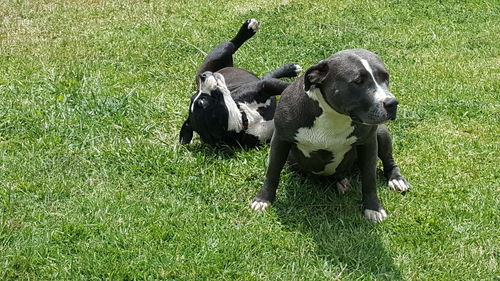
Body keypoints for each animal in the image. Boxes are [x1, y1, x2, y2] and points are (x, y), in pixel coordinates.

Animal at [180, 18, 300, 147]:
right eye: (202, 102)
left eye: (196, 95)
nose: (203, 76)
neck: (244, 118)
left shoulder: (263, 87)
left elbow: (283, 86)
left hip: (223, 51)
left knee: (233, 43)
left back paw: (249, 28)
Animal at [250, 49, 410, 222]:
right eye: (358, 81)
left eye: (385, 77)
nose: (392, 103)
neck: (334, 115)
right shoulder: (280, 139)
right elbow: (272, 171)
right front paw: (263, 199)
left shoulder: (368, 143)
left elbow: (369, 178)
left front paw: (373, 208)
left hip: (381, 132)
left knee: (388, 160)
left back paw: (396, 179)